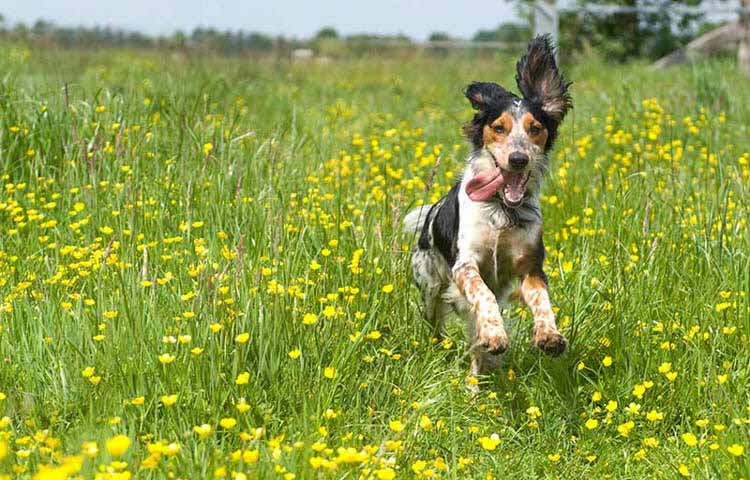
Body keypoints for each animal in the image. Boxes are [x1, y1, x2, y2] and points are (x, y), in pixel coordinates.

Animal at [406, 35, 576, 380]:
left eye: (535, 128)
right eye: (499, 127)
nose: (518, 159)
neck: (502, 211)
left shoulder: (530, 266)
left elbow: (542, 299)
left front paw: (549, 335)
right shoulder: (465, 265)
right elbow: (482, 295)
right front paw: (496, 335)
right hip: (429, 284)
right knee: (437, 319)